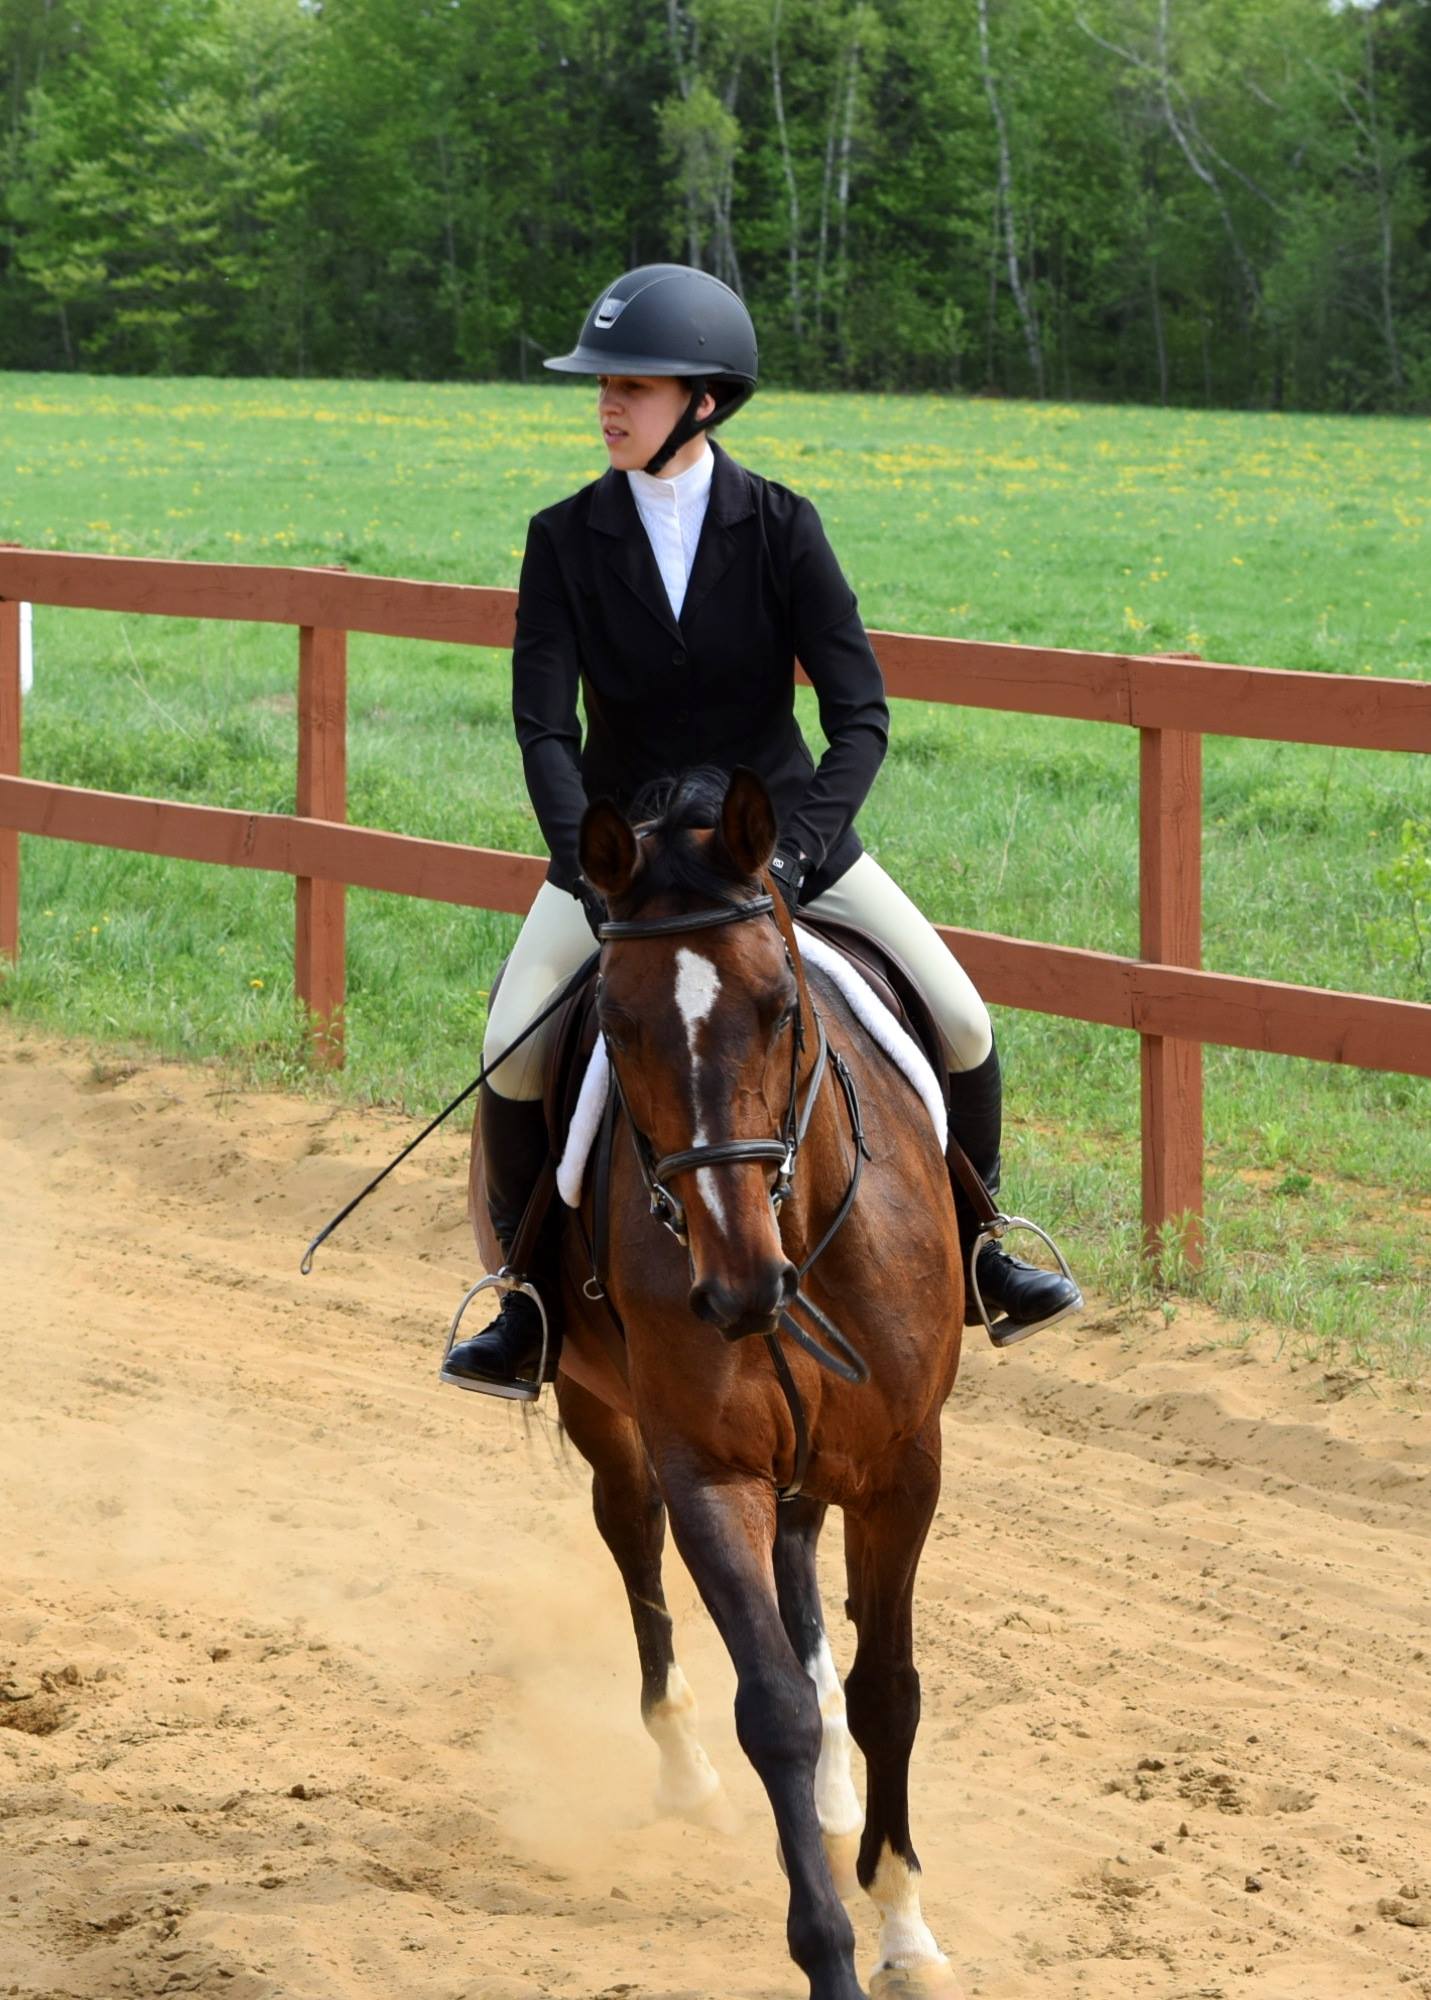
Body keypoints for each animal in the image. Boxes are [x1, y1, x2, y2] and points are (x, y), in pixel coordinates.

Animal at [467, 768, 963, 2000]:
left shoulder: (905, 1466)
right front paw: (829, 1950)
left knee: (801, 1575)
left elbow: (889, 1688)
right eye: (618, 1023)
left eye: (781, 1007)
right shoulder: (708, 1468)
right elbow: (771, 1705)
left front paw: (903, 1920)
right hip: (604, 1412)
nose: (739, 1286)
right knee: (631, 1541)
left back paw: (837, 1802)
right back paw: (688, 1768)